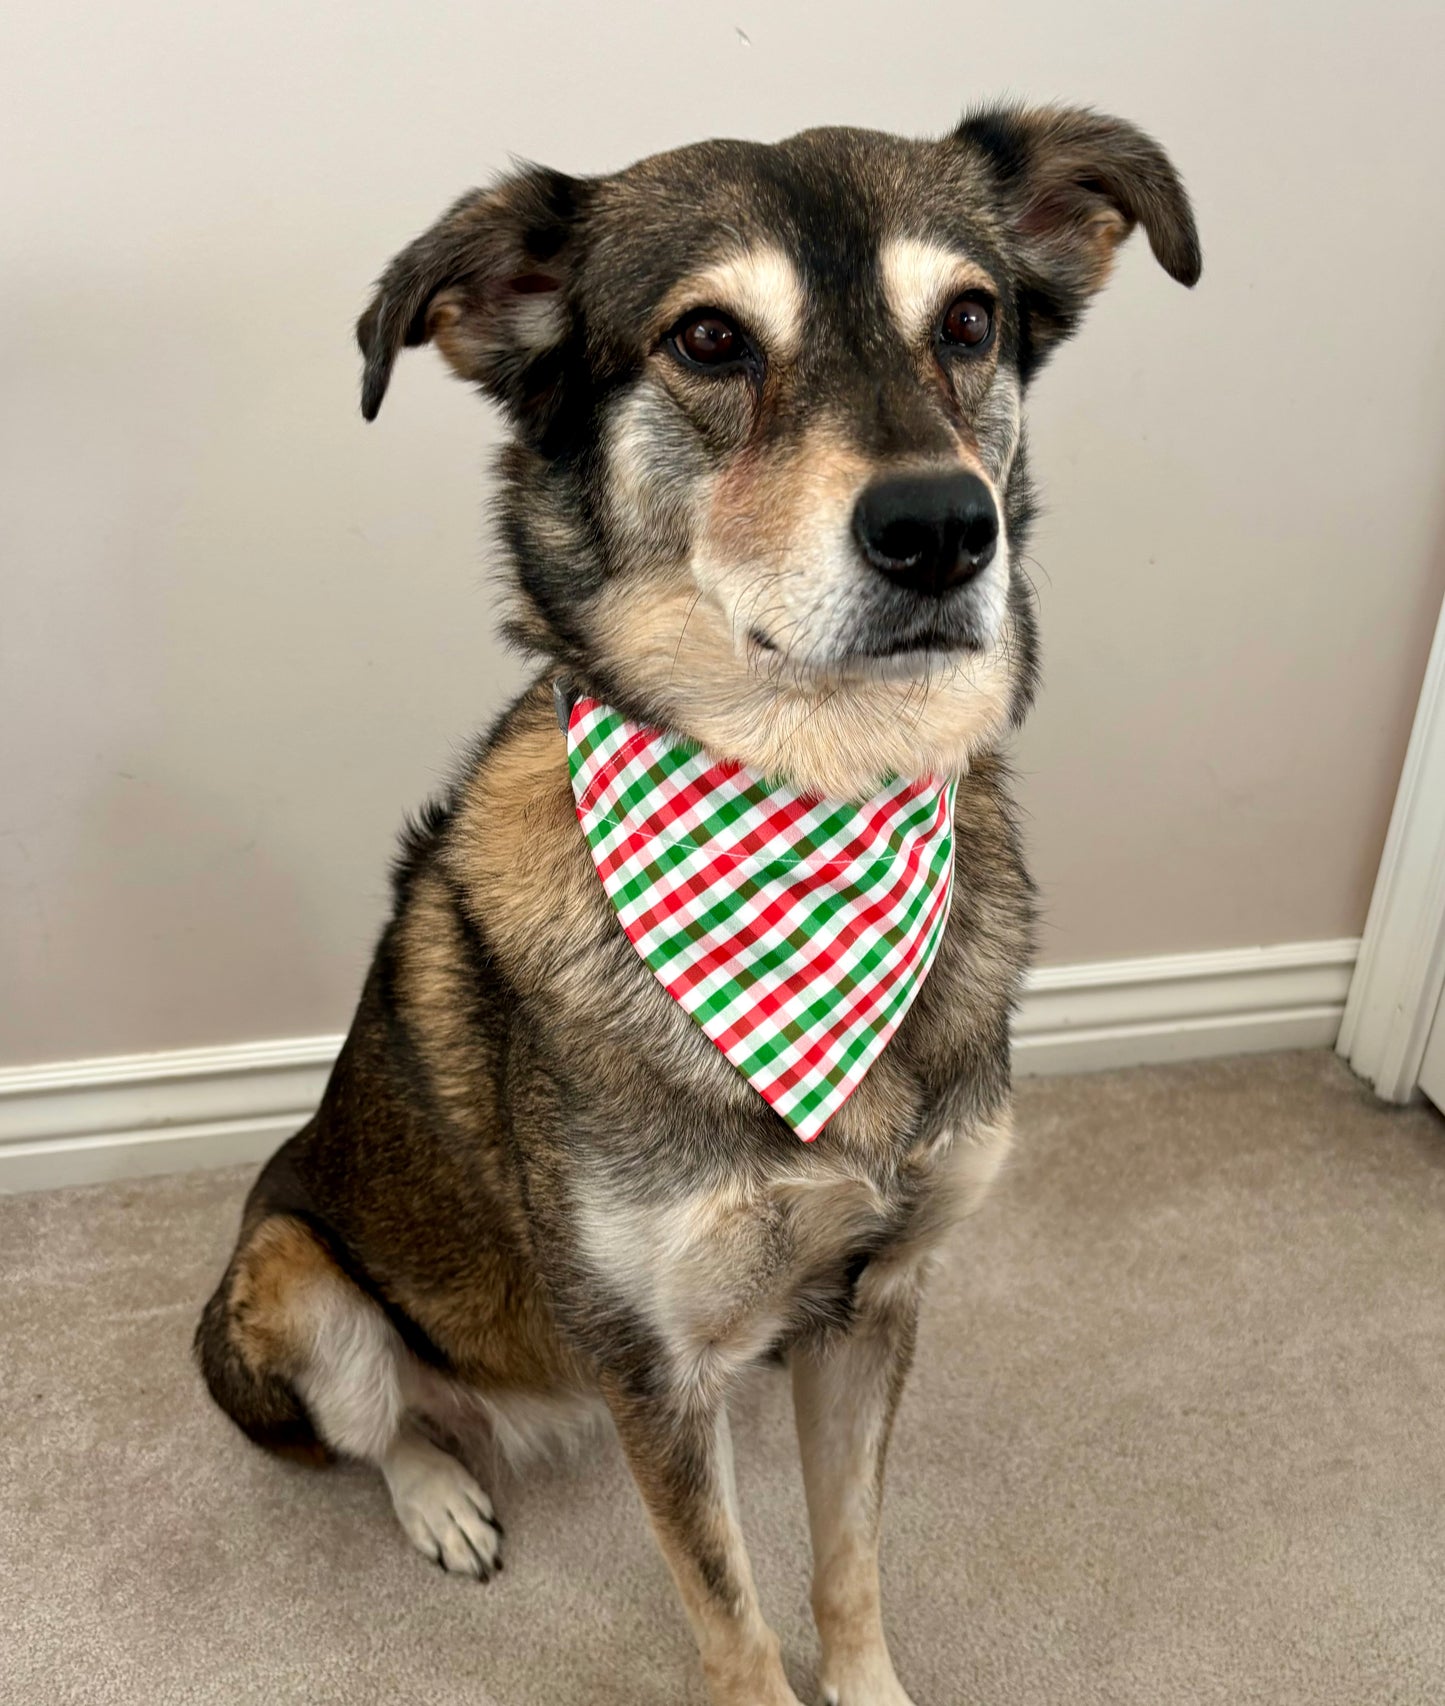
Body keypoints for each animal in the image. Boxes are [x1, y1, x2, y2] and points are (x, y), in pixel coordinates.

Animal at [197, 103, 1201, 1706]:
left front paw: (867, 1684)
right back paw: (443, 1497)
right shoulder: (657, 1369)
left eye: (968, 320)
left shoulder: (874, 1300)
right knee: (383, 1426)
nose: (942, 528)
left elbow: (847, 1561)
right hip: (296, 1284)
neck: (815, 796)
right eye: (710, 338)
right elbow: (731, 1622)